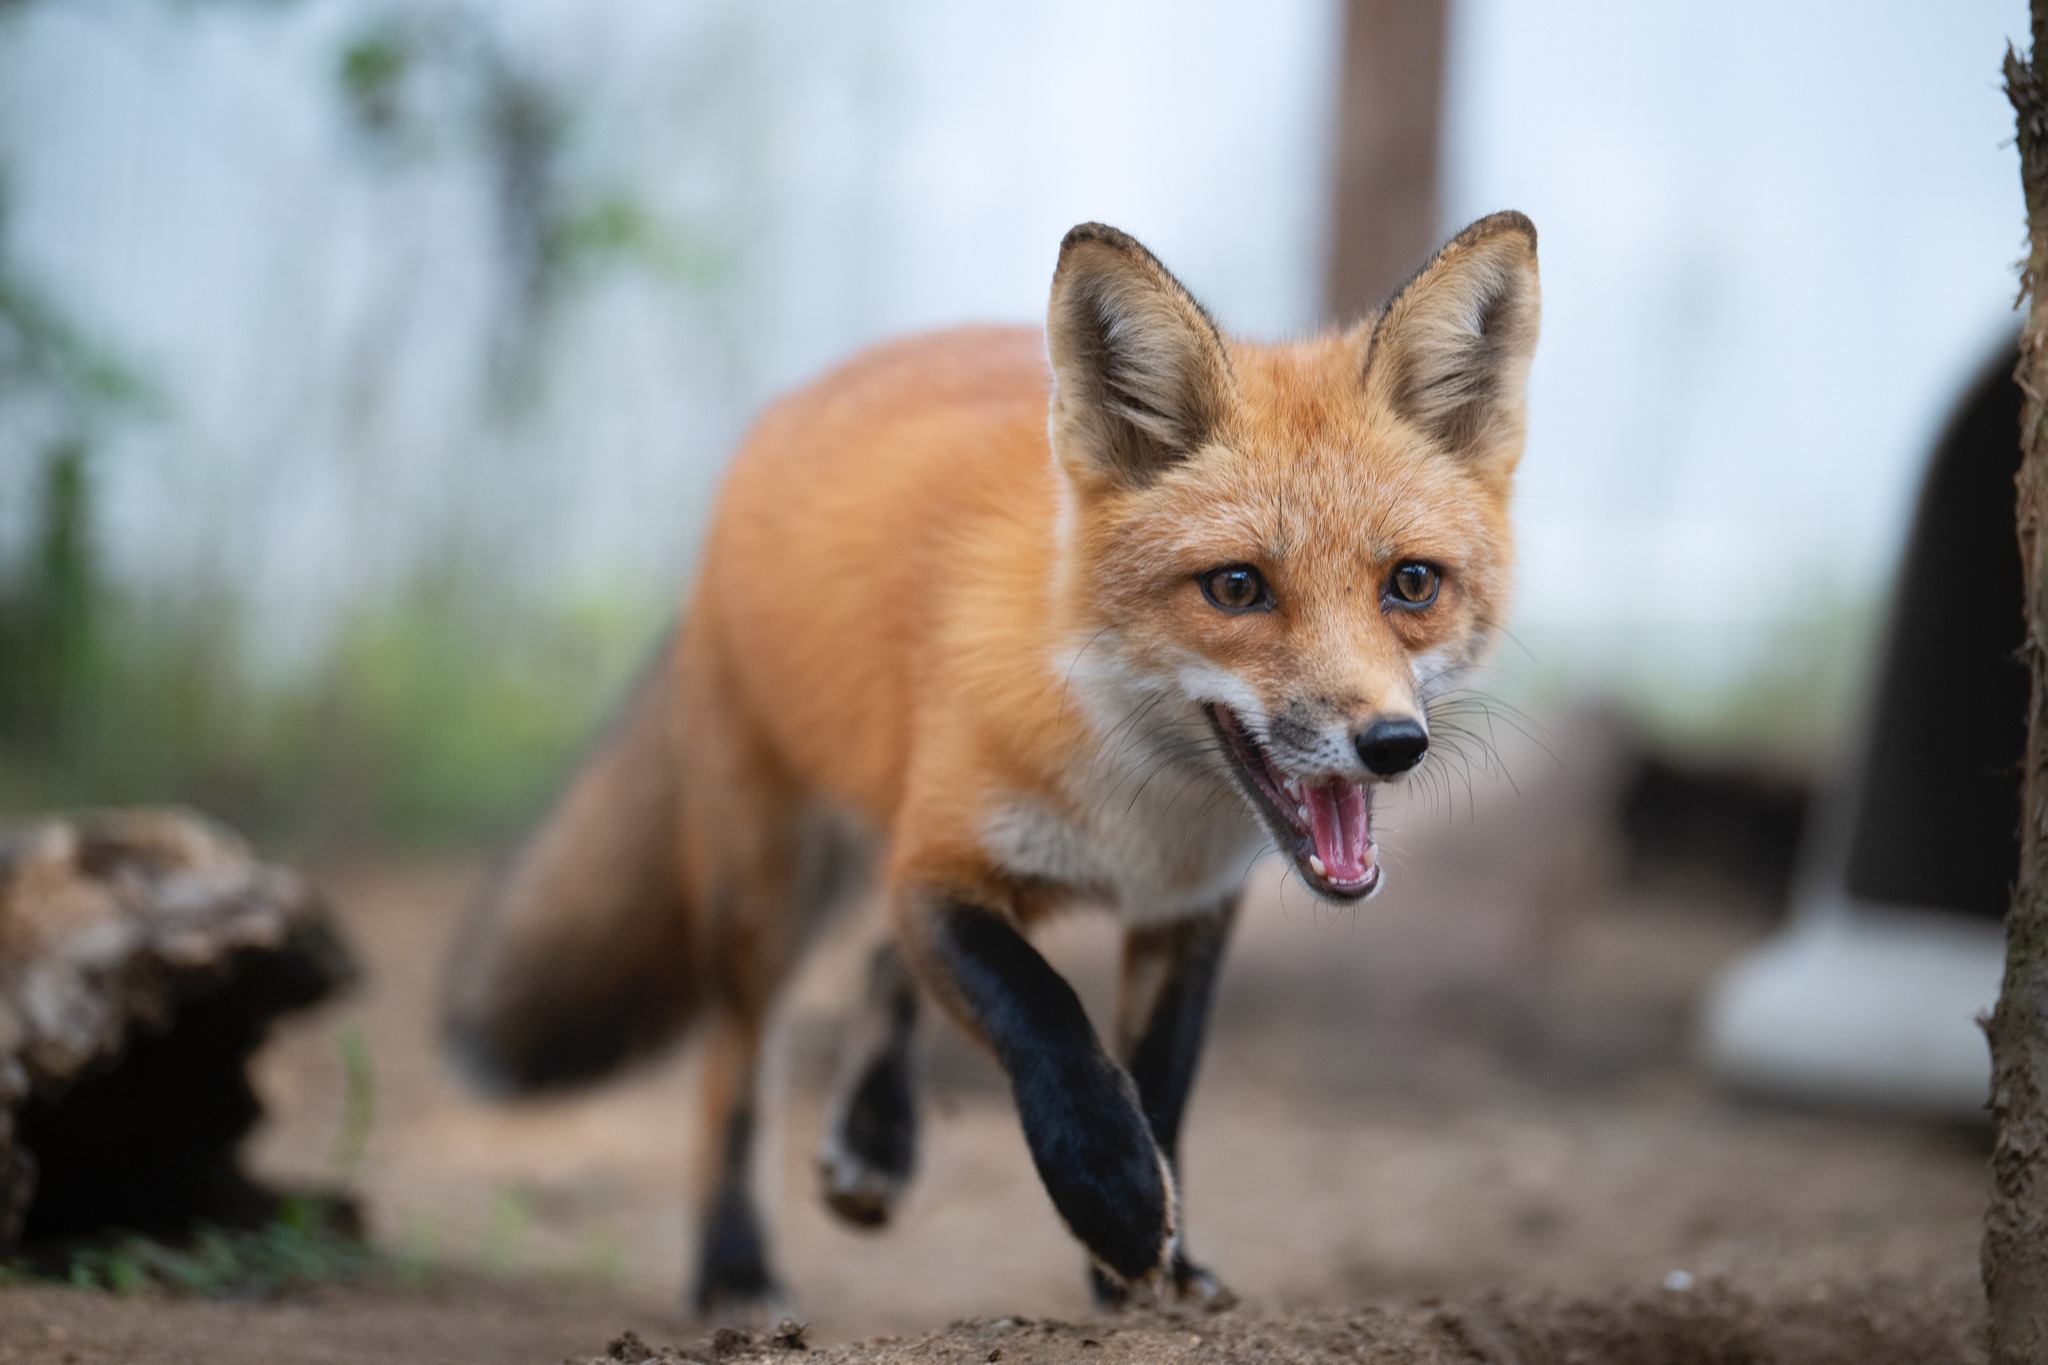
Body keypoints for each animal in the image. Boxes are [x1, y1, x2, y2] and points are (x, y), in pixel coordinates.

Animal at [444, 212, 1540, 1316]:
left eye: (1411, 584)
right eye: (1236, 588)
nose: (1390, 745)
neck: (1140, 811)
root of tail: (799, 399)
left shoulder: (1188, 910)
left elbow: (1162, 1081)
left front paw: (1154, 1264)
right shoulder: (938, 865)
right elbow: (1043, 1014)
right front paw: (1112, 1197)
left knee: (877, 965)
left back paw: (873, 1143)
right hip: (765, 884)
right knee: (735, 1063)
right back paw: (734, 1269)